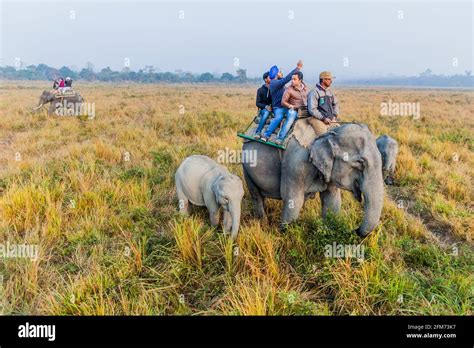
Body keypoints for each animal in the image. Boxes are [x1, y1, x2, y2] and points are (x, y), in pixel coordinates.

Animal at [243, 121, 384, 238]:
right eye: (360, 163)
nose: (355, 230)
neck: (328, 134)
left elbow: (332, 202)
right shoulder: (295, 166)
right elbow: (293, 202)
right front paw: (283, 236)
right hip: (246, 167)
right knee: (256, 195)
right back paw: (262, 222)